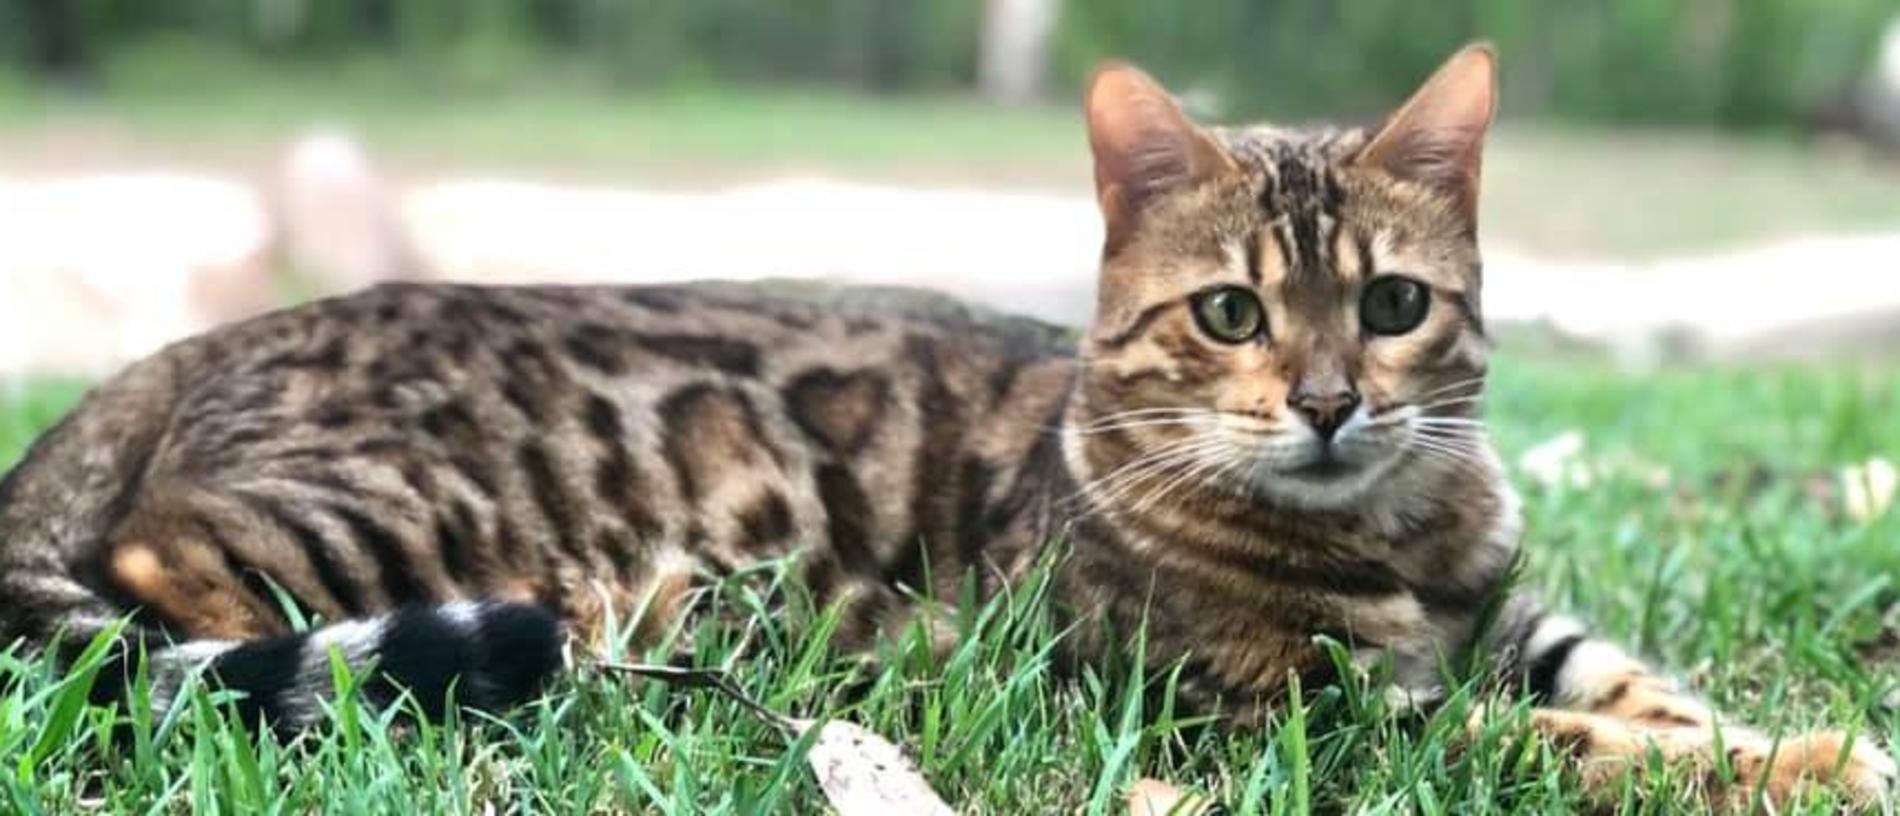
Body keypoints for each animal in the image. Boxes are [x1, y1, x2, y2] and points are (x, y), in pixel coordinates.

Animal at [0, 43, 1892, 802]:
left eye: (1392, 306)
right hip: (406, 512)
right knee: (164, 588)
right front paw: (1790, 768)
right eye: (1231, 314)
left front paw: (1800, 738)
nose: (1330, 403)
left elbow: (1631, 687)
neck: (1395, 535)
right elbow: (1558, 743)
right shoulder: (1287, 719)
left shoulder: (1510, 618)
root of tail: (181, 351)